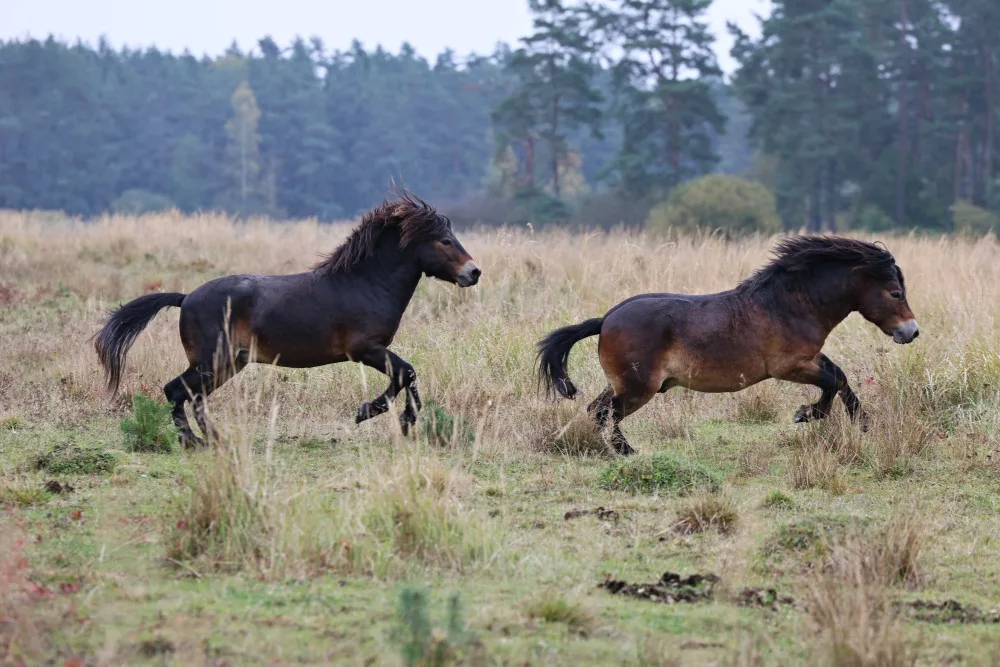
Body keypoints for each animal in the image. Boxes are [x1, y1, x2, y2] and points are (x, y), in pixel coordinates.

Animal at [95, 191, 481, 447]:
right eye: (445, 241)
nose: (474, 272)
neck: (366, 284)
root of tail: (186, 297)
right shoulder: (365, 350)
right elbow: (406, 372)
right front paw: (377, 413)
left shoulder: (373, 351)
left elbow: (407, 375)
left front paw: (396, 418)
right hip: (212, 361)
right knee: (176, 391)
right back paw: (196, 443)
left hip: (228, 364)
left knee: (193, 397)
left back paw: (214, 440)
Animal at [537, 236, 919, 456]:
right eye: (894, 293)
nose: (911, 332)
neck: (789, 304)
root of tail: (605, 319)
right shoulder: (789, 367)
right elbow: (831, 383)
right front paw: (807, 414)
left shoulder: (811, 357)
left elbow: (839, 376)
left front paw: (861, 421)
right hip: (637, 388)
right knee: (606, 412)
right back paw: (625, 450)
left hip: (625, 384)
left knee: (597, 409)